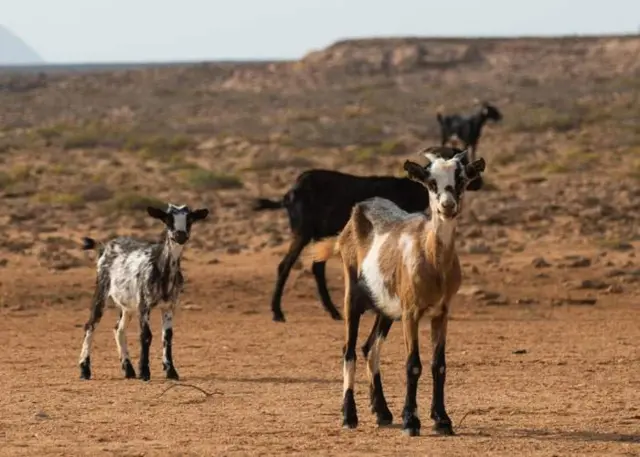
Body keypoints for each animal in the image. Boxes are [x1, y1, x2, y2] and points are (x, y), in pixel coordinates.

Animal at [78, 203, 209, 381]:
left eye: (190, 219)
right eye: (168, 219)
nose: (180, 235)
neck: (161, 269)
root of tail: (105, 247)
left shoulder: (169, 306)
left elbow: (167, 336)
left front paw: (171, 371)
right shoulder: (144, 305)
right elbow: (146, 335)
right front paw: (145, 372)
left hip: (127, 306)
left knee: (118, 329)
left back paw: (128, 369)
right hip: (102, 290)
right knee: (90, 325)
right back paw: (85, 370)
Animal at [252, 146, 484, 323]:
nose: (480, 181)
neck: (409, 188)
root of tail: (289, 194)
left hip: (318, 236)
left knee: (316, 267)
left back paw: (334, 312)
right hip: (303, 231)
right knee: (286, 265)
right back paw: (278, 313)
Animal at [312, 150, 486, 436]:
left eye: (460, 179)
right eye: (431, 182)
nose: (447, 206)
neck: (432, 259)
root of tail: (359, 210)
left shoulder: (441, 313)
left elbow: (439, 365)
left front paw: (442, 420)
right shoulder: (411, 313)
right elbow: (413, 364)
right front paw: (411, 422)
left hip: (386, 309)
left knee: (369, 347)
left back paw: (382, 411)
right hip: (353, 296)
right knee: (349, 350)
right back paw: (349, 416)